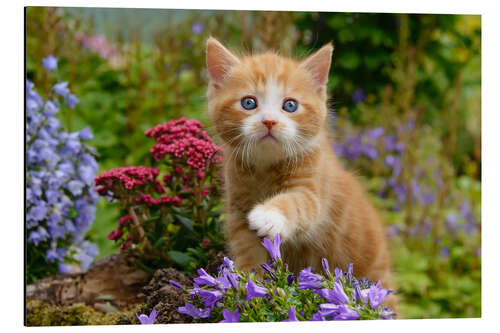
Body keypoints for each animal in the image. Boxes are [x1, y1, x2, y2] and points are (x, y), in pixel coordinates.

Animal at [205, 37, 396, 308]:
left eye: (290, 105)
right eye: (248, 103)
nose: (269, 121)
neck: (266, 168)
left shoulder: (315, 186)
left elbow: (299, 202)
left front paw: (268, 215)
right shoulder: (238, 208)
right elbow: (246, 249)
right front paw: (247, 287)